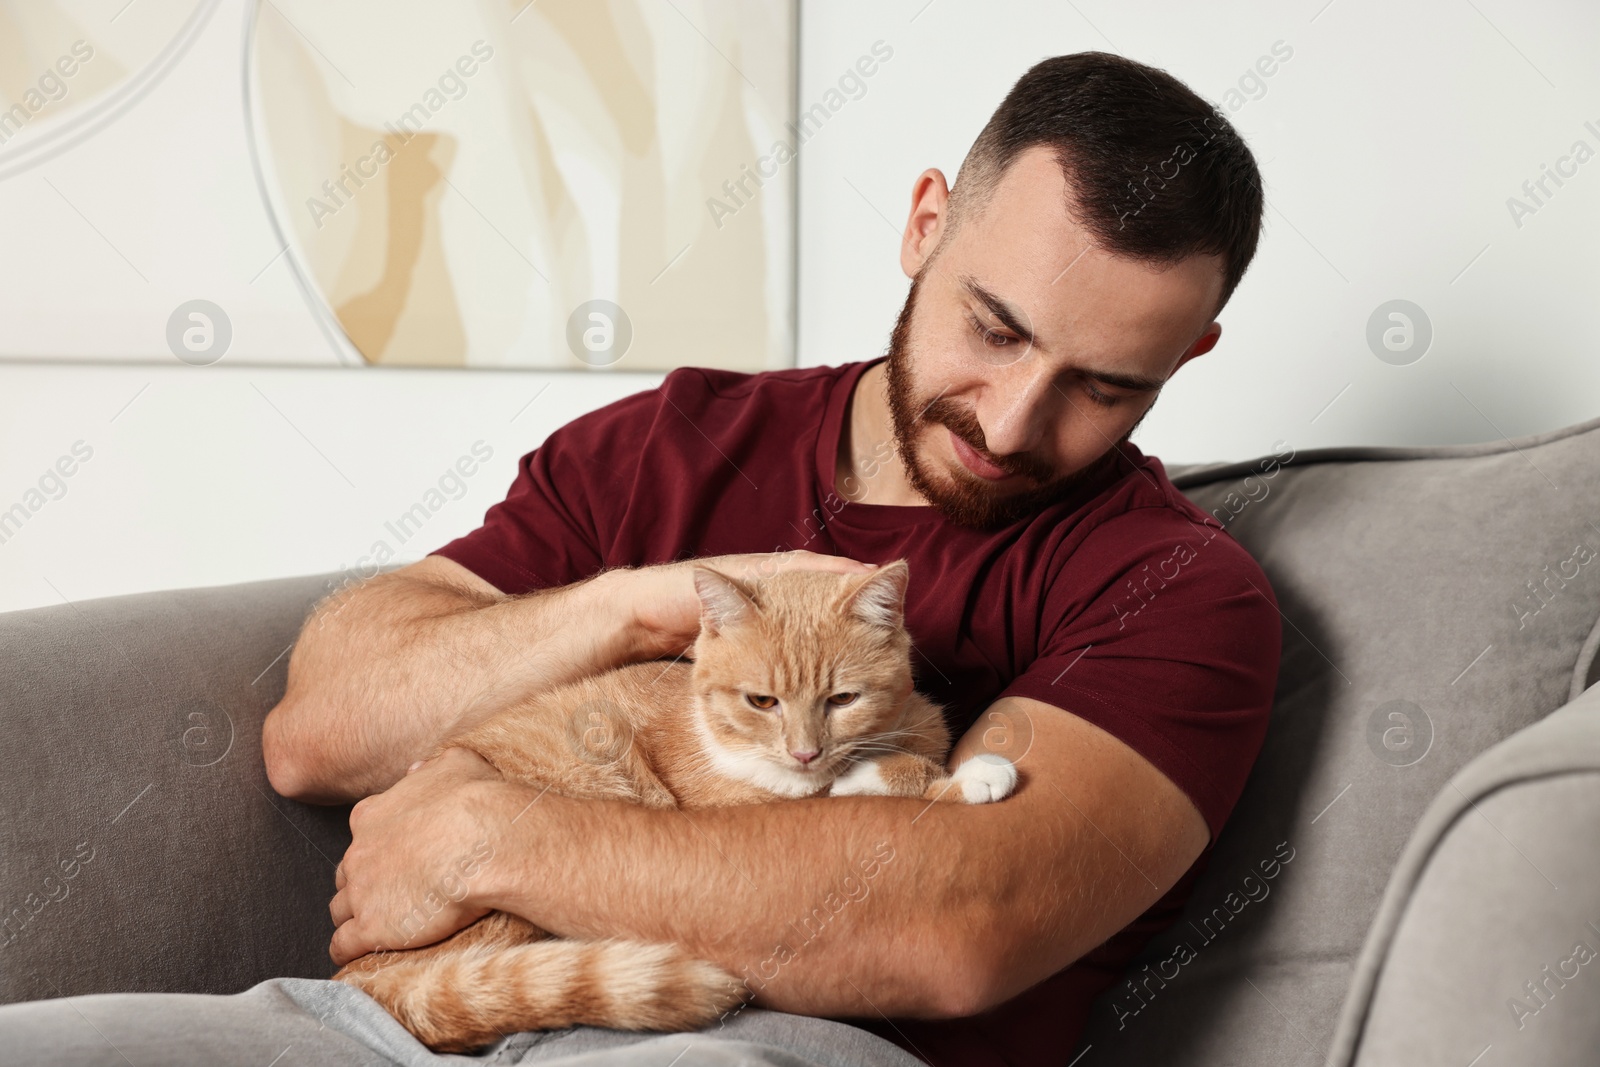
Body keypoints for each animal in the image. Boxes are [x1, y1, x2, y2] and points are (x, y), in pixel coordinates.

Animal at [332, 559, 1017, 1049]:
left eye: (843, 698)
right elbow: (880, 781)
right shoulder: (738, 805)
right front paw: (972, 774)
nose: (804, 752)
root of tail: (356, 980)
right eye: (762, 701)